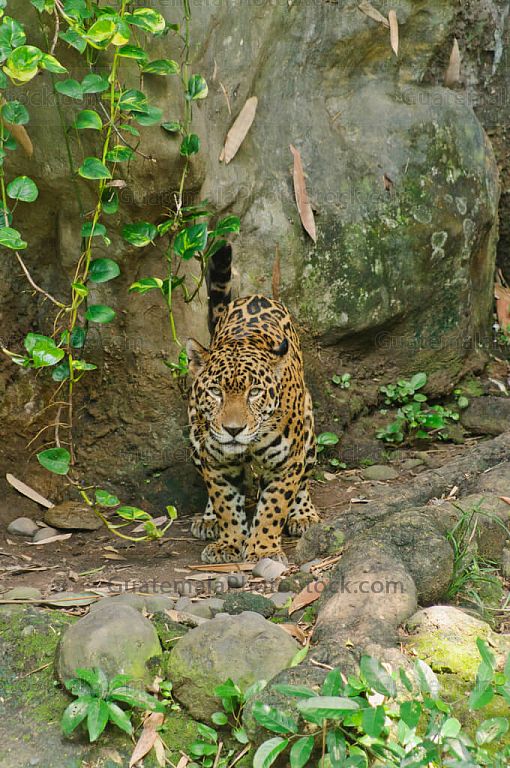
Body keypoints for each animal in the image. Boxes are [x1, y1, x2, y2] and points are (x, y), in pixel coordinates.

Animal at [186, 243, 319, 563]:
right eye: (215, 391)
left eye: (255, 392)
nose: (233, 430)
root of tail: (257, 295)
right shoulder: (217, 464)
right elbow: (225, 505)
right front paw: (229, 543)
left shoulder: (286, 464)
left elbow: (273, 507)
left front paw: (263, 549)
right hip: (195, 438)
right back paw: (208, 520)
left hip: (308, 434)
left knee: (304, 479)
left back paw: (303, 514)